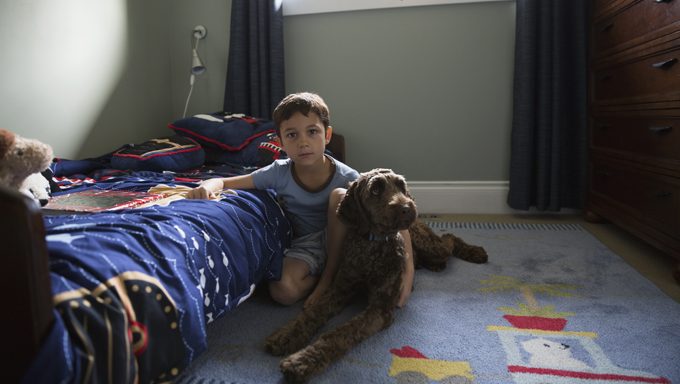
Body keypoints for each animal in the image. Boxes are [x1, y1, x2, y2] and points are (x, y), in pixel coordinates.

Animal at [266, 169, 488, 384]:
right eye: (375, 190)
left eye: (401, 186)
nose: (407, 207)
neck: (373, 246)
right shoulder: (340, 289)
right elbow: (312, 314)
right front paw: (286, 336)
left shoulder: (380, 308)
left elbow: (341, 333)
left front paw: (301, 362)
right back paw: (435, 265)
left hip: (430, 244)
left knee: (449, 239)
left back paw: (475, 252)